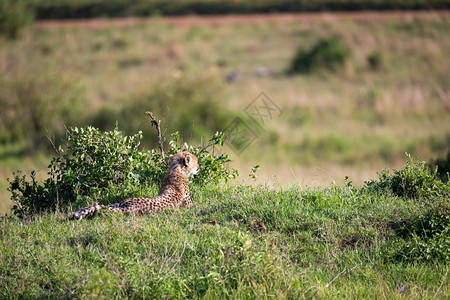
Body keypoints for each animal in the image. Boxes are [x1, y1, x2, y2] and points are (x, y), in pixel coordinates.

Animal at [69, 152, 199, 220]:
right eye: (196, 162)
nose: (199, 168)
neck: (177, 170)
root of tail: (127, 208)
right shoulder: (189, 205)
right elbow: (196, 205)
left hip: (118, 203)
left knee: (97, 205)